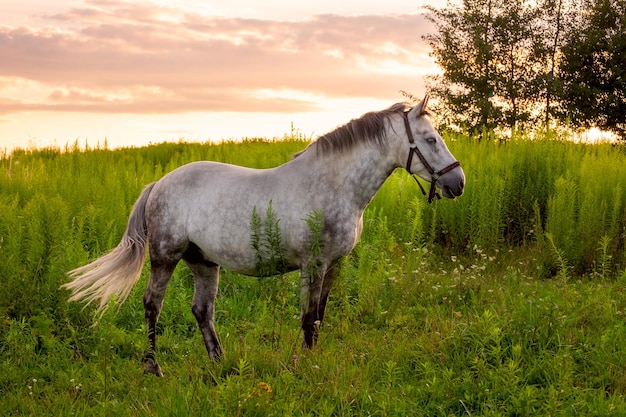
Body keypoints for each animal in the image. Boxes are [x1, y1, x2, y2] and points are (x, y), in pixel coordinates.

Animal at [64, 95, 464, 376]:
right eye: (430, 139)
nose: (457, 183)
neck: (335, 184)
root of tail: (158, 184)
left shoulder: (334, 265)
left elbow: (319, 316)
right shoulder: (314, 264)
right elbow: (307, 317)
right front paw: (308, 367)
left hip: (203, 262)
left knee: (202, 310)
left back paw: (220, 363)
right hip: (165, 257)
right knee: (152, 305)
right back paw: (154, 368)